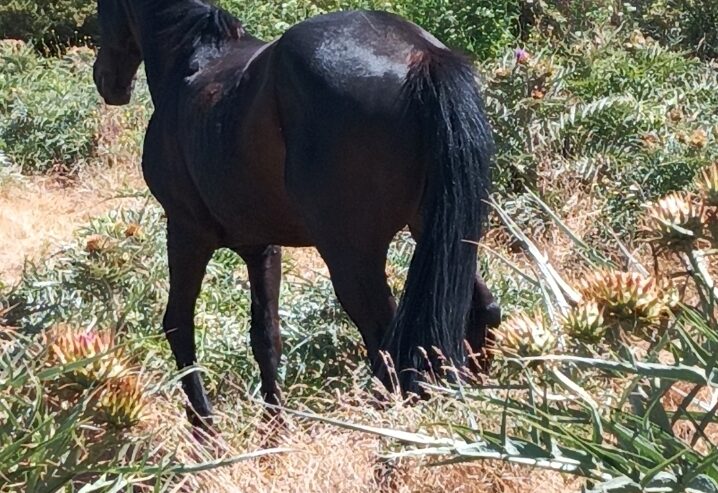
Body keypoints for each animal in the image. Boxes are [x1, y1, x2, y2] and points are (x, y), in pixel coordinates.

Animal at [94, 0, 500, 424]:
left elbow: (178, 324)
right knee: (481, 309)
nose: (106, 80)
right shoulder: (260, 246)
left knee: (387, 342)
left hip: (351, 256)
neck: (192, 62)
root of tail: (419, 54)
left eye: (101, 9)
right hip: (440, 235)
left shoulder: (186, 232)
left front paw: (204, 425)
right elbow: (265, 334)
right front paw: (275, 424)